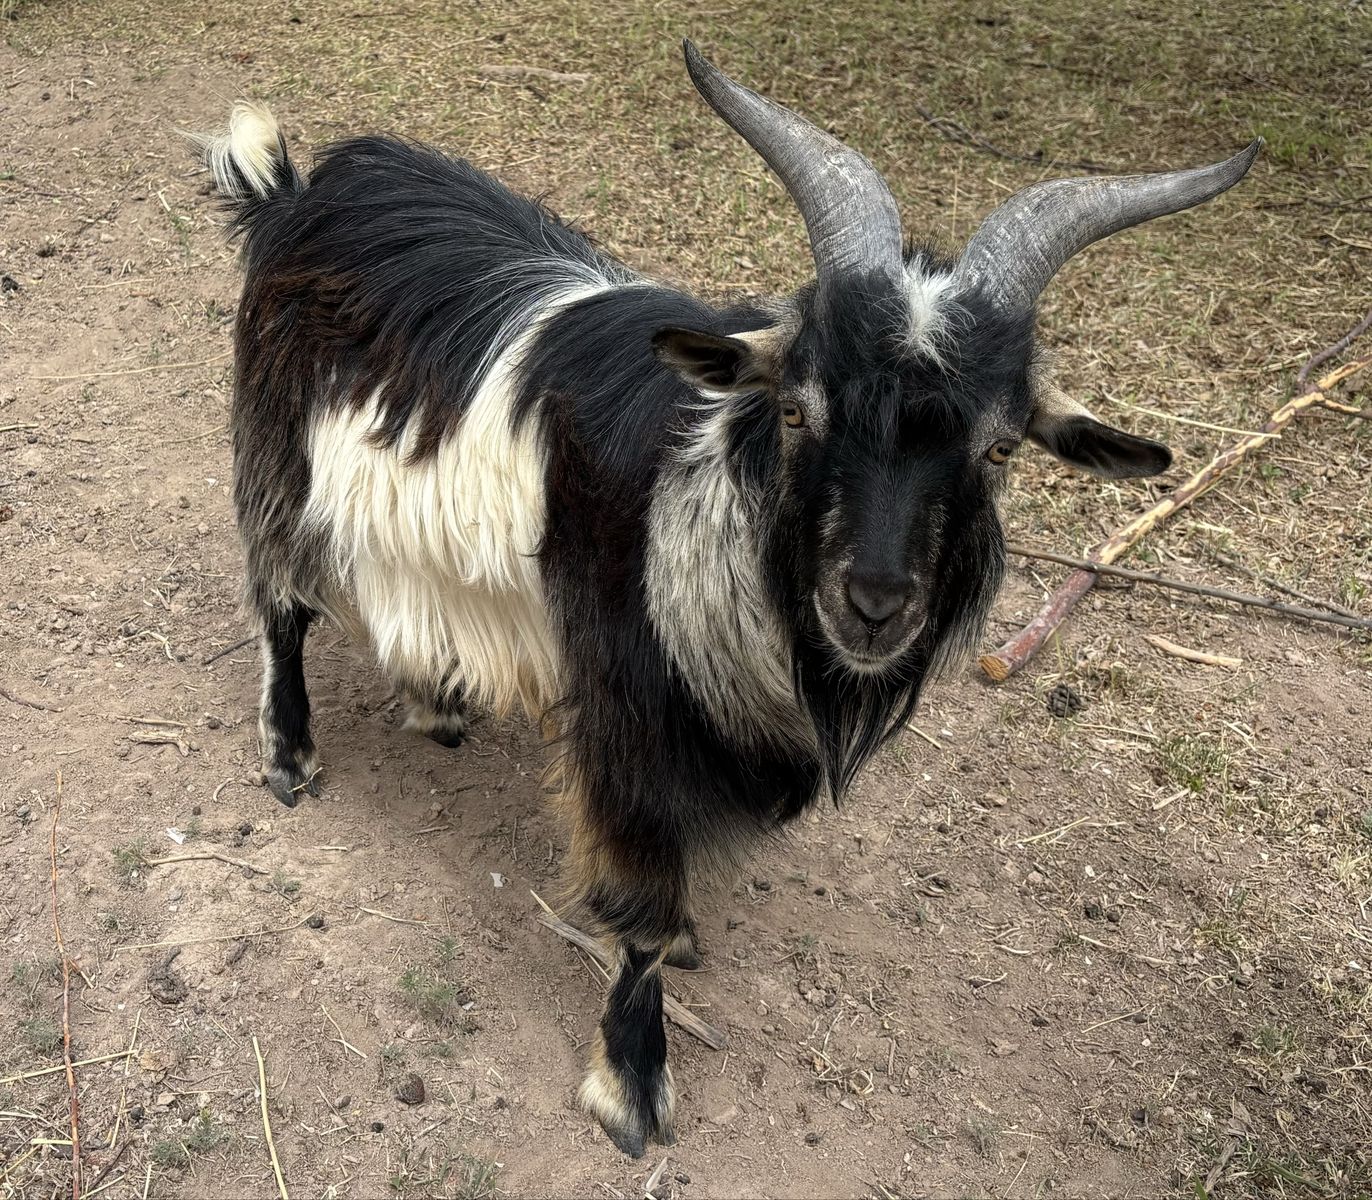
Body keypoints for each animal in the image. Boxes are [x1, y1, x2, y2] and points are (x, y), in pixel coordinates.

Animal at [196, 43, 1258, 1156]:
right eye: (795, 410)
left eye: (1000, 448)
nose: (873, 601)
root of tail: (297, 192)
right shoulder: (630, 720)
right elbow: (641, 910)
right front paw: (630, 1087)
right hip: (277, 458)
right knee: (281, 606)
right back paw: (289, 757)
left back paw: (435, 703)